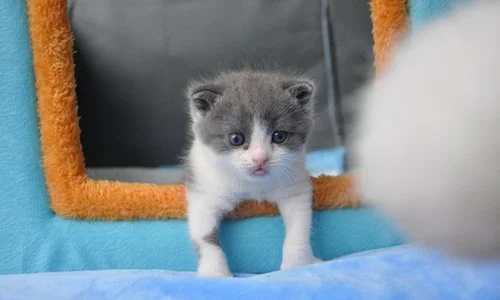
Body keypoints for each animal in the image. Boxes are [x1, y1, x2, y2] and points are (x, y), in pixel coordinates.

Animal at [184, 70, 320, 276]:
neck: (253, 186)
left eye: (279, 136)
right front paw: (216, 273)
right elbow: (207, 238)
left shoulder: (295, 187)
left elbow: (299, 228)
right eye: (236, 139)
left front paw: (297, 265)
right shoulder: (204, 193)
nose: (260, 158)